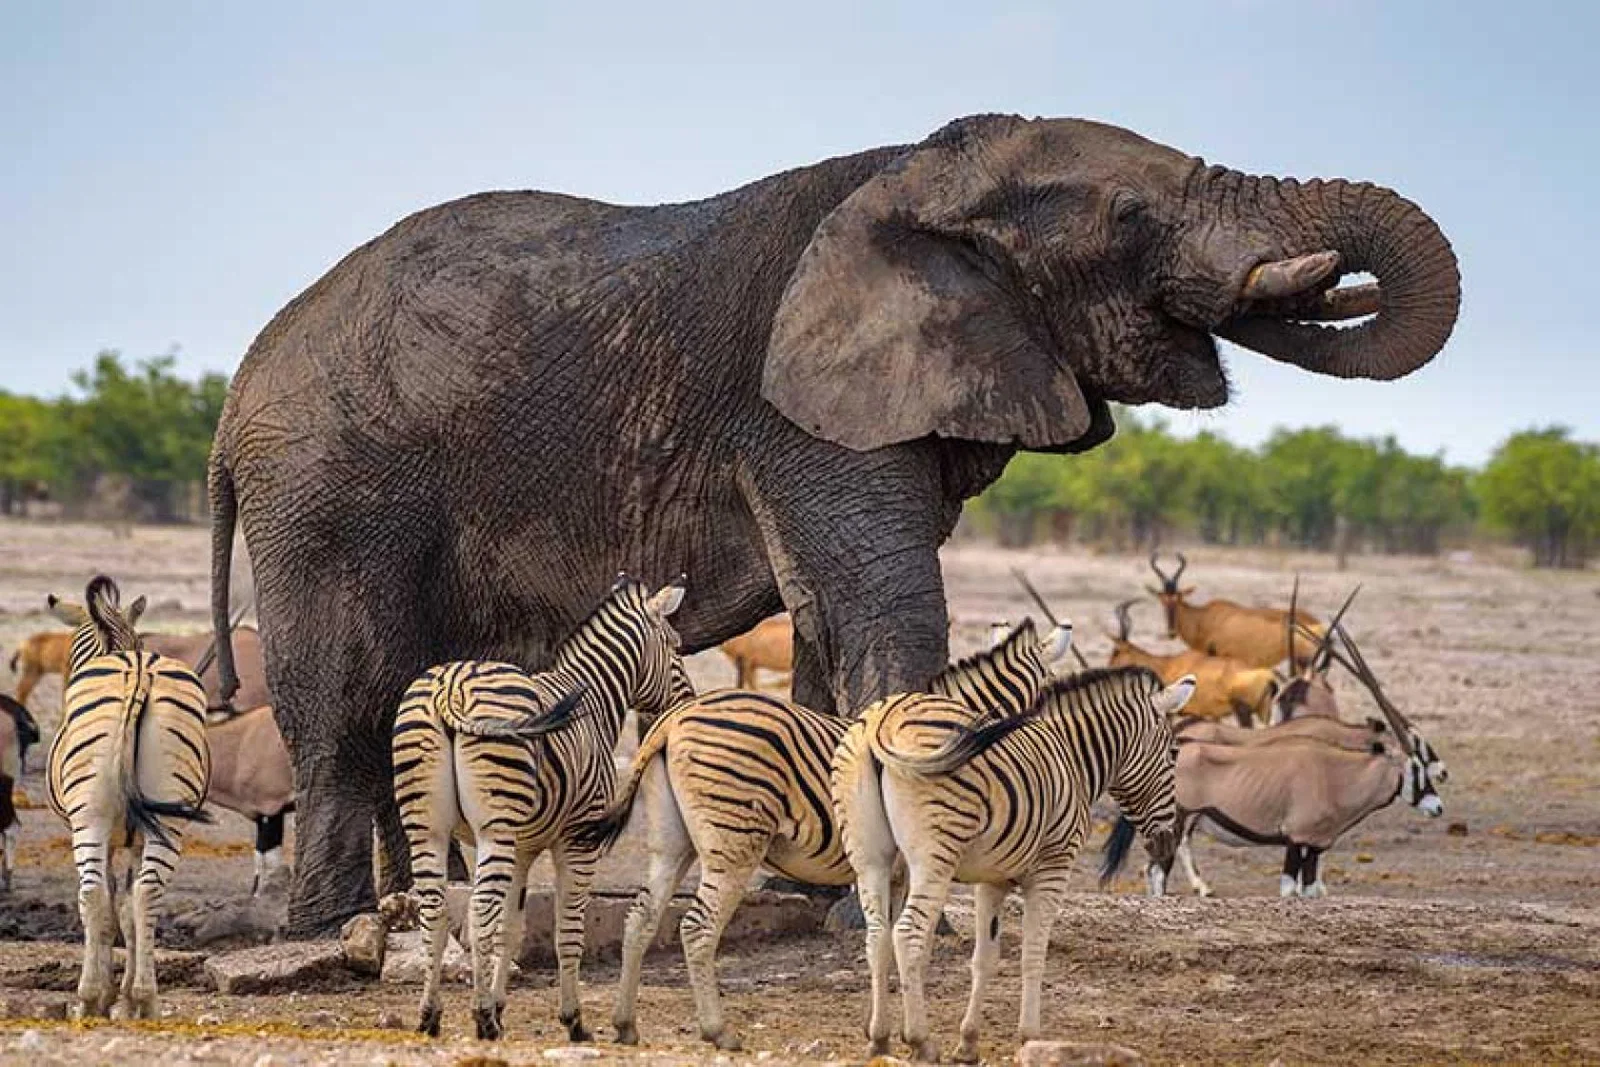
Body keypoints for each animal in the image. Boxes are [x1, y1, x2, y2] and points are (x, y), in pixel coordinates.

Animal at [208, 113, 1459, 936]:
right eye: (1131, 216)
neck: (912, 172)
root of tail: (237, 391)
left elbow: (826, 616)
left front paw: (813, 889)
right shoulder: (798, 411)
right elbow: (881, 607)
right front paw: (891, 902)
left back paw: (415, 903)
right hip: (329, 486)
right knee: (348, 691)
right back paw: (326, 927)